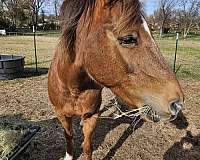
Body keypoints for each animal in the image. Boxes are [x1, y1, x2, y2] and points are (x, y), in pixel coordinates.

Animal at [47, 0, 184, 159]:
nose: (177, 104)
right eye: (128, 39)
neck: (73, 87)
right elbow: (68, 136)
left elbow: (87, 146)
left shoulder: (92, 116)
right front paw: (69, 155)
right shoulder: (61, 115)